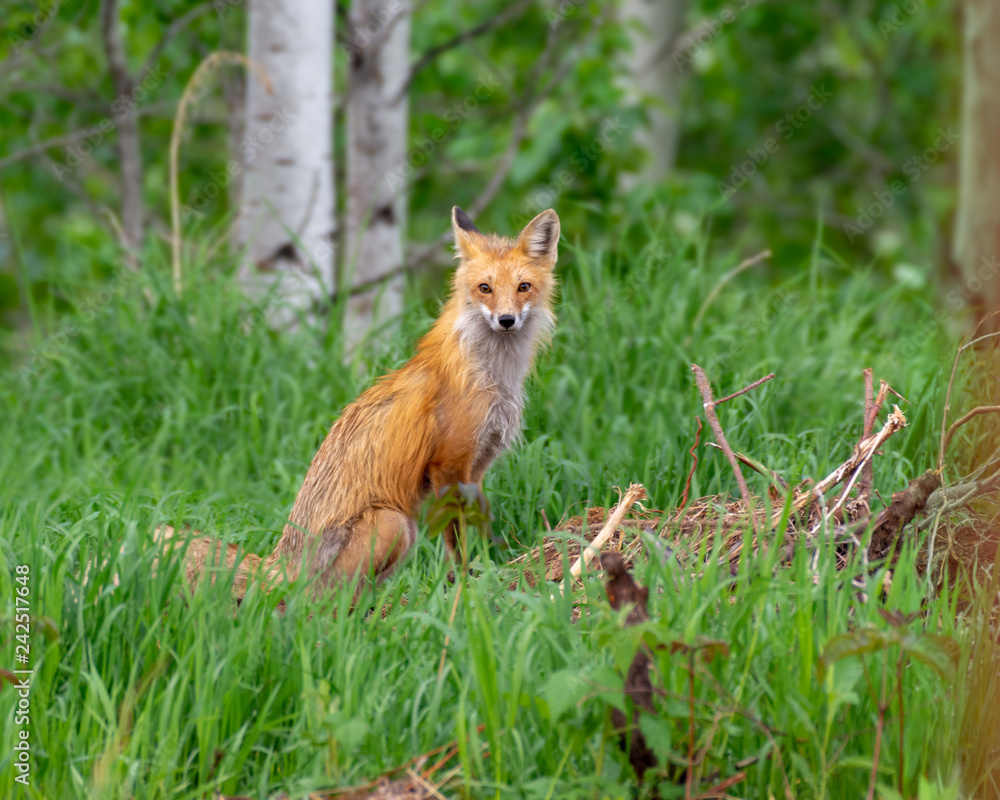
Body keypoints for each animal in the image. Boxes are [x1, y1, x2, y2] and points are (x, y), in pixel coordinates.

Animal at [157, 206, 560, 601]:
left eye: (523, 287)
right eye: (484, 288)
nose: (506, 320)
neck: (494, 376)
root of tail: (283, 564)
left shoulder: (476, 467)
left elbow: (474, 530)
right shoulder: (447, 466)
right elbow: (456, 543)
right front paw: (463, 584)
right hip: (394, 523)